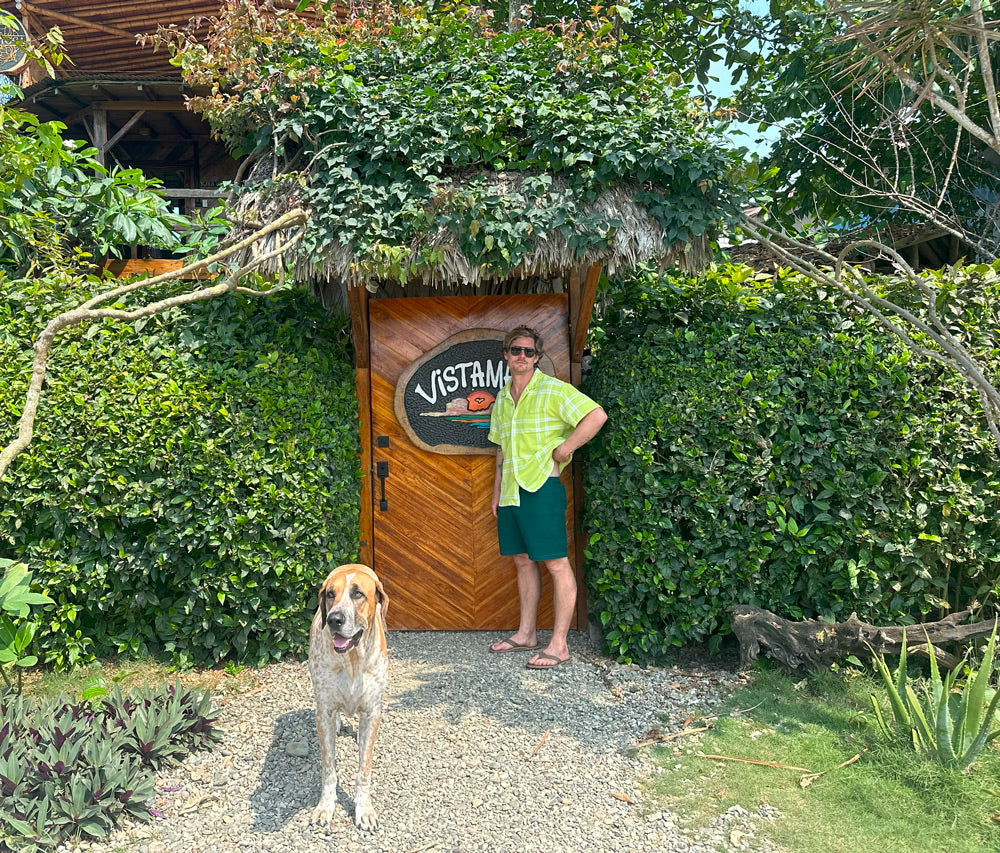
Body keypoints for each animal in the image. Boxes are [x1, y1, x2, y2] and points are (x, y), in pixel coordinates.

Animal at [308, 564, 390, 828]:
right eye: (330, 594)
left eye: (358, 594)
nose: (334, 619)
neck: (353, 660)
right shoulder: (323, 712)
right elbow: (328, 769)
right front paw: (325, 807)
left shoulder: (372, 713)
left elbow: (364, 769)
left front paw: (364, 809)